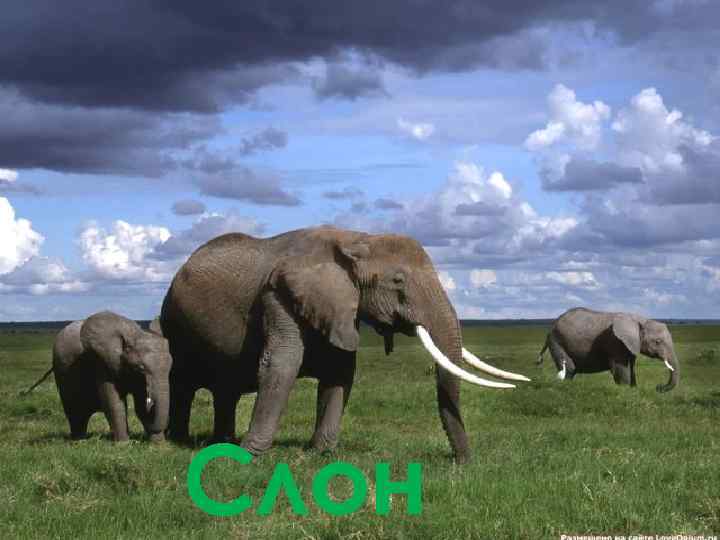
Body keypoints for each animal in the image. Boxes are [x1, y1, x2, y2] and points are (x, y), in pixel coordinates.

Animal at [23, 311, 172, 441]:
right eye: (140, 368)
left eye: (170, 367)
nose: (151, 404)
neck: (134, 333)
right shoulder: (102, 362)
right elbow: (113, 403)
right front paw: (123, 444)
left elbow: (139, 404)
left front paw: (158, 444)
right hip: (61, 371)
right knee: (75, 411)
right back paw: (79, 440)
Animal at [160, 226, 530, 463]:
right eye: (398, 281)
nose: (462, 463)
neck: (356, 240)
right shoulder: (279, 295)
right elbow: (280, 364)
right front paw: (250, 456)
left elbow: (340, 371)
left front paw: (320, 453)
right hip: (173, 320)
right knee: (182, 381)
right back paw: (177, 441)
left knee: (227, 388)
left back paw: (221, 441)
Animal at [536, 307, 679, 392]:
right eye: (657, 342)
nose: (658, 387)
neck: (639, 319)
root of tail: (551, 327)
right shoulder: (616, 342)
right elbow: (621, 368)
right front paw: (625, 391)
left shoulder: (631, 344)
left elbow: (631, 367)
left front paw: (633, 389)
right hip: (557, 341)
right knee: (570, 368)